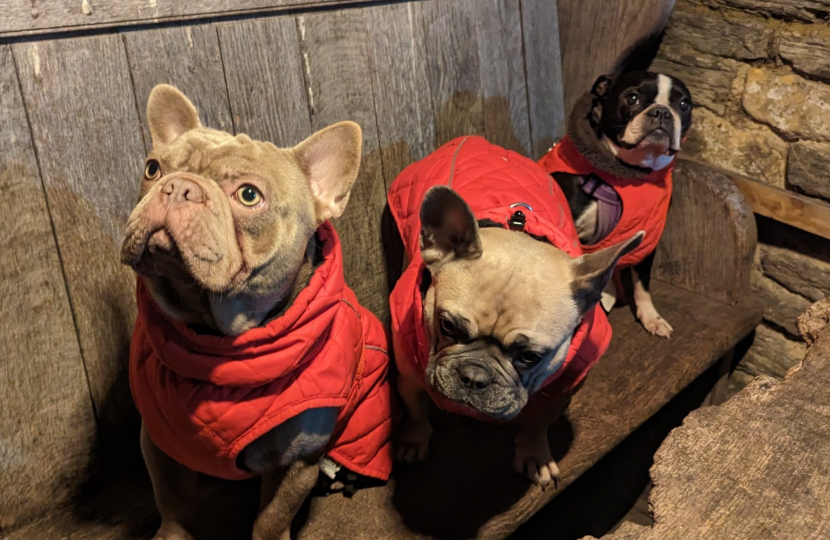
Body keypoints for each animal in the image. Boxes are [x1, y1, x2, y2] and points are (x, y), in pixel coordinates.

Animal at [122, 84, 394, 540]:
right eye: (152, 169)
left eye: (249, 195)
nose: (178, 187)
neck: (215, 337)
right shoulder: (160, 443)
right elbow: (173, 506)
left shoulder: (295, 461)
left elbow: (271, 518)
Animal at [386, 136, 648, 490]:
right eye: (446, 325)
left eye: (530, 356)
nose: (474, 377)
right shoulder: (409, 375)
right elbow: (415, 412)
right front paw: (414, 440)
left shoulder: (564, 387)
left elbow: (538, 423)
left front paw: (536, 455)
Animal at [540, 71, 696, 338]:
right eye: (632, 98)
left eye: (684, 105)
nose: (662, 112)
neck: (629, 172)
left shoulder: (647, 240)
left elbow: (642, 283)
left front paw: (651, 317)